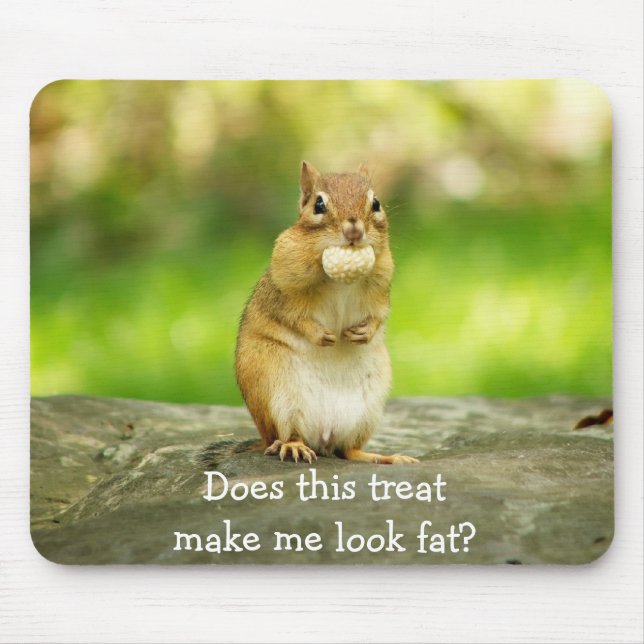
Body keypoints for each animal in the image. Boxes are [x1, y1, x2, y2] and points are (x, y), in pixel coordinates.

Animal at [235, 161, 419, 465]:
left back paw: (385, 457)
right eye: (318, 205)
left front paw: (363, 332)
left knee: (348, 450)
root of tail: (323, 436)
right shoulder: (283, 286)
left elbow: (379, 314)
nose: (353, 230)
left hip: (367, 410)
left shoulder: (382, 283)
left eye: (376, 203)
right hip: (275, 394)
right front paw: (321, 335)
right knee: (286, 435)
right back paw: (294, 447)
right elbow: (292, 316)